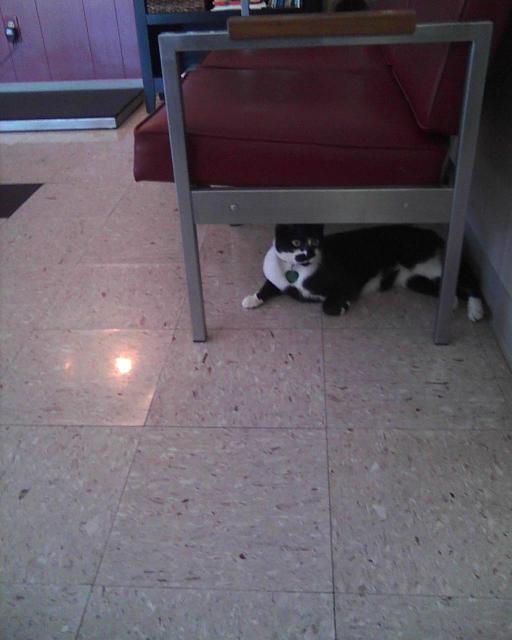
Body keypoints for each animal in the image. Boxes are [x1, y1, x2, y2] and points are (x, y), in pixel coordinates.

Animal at [243, 226, 484, 322]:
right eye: (295, 243)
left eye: (315, 242)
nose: (306, 254)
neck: (295, 271)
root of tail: (434, 234)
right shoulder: (277, 279)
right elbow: (268, 286)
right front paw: (252, 299)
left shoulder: (346, 284)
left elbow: (328, 305)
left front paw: (342, 306)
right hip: (415, 280)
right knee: (450, 289)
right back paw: (452, 302)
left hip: (428, 262)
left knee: (469, 281)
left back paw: (475, 310)